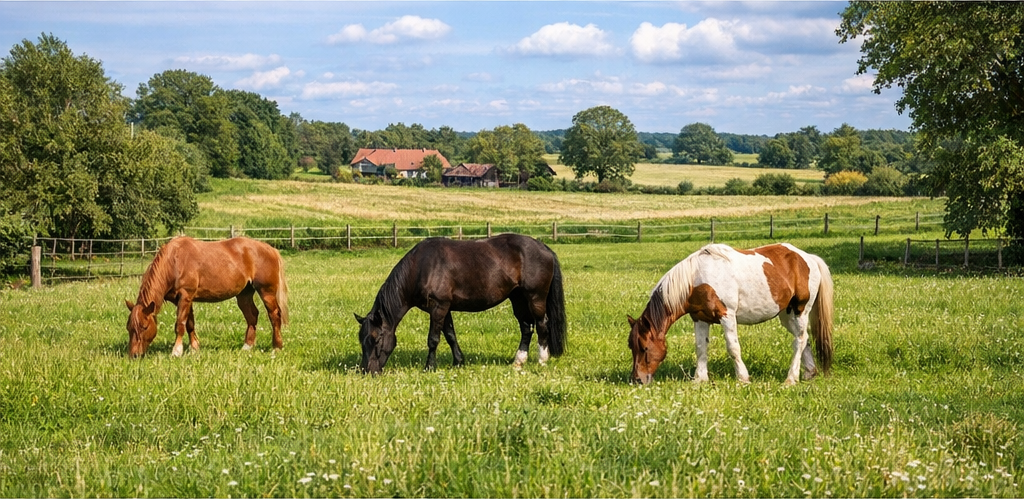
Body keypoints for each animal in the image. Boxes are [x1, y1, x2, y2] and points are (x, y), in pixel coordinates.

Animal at [124, 236, 289, 358]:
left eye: (144, 327)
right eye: (129, 327)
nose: (134, 355)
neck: (174, 261)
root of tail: (271, 249)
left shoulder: (185, 296)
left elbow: (180, 324)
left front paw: (176, 351)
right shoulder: (185, 299)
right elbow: (189, 324)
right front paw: (194, 348)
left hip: (266, 292)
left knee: (274, 315)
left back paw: (276, 347)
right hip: (244, 294)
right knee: (252, 315)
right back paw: (247, 347)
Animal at [355, 233, 566, 374]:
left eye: (376, 339)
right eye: (361, 340)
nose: (367, 371)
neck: (422, 267)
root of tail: (544, 247)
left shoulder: (439, 308)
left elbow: (433, 339)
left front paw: (429, 367)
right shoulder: (444, 308)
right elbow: (450, 336)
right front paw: (458, 362)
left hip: (535, 298)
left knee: (542, 325)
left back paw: (542, 360)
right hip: (518, 299)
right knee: (526, 328)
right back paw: (519, 361)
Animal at [627, 243, 833, 385]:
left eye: (644, 348)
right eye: (631, 346)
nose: (637, 379)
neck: (697, 278)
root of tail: (808, 258)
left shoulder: (727, 315)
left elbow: (733, 348)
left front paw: (743, 378)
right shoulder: (699, 318)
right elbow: (701, 348)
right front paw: (699, 379)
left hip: (800, 311)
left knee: (799, 341)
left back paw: (790, 379)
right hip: (787, 315)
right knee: (804, 339)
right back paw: (808, 373)